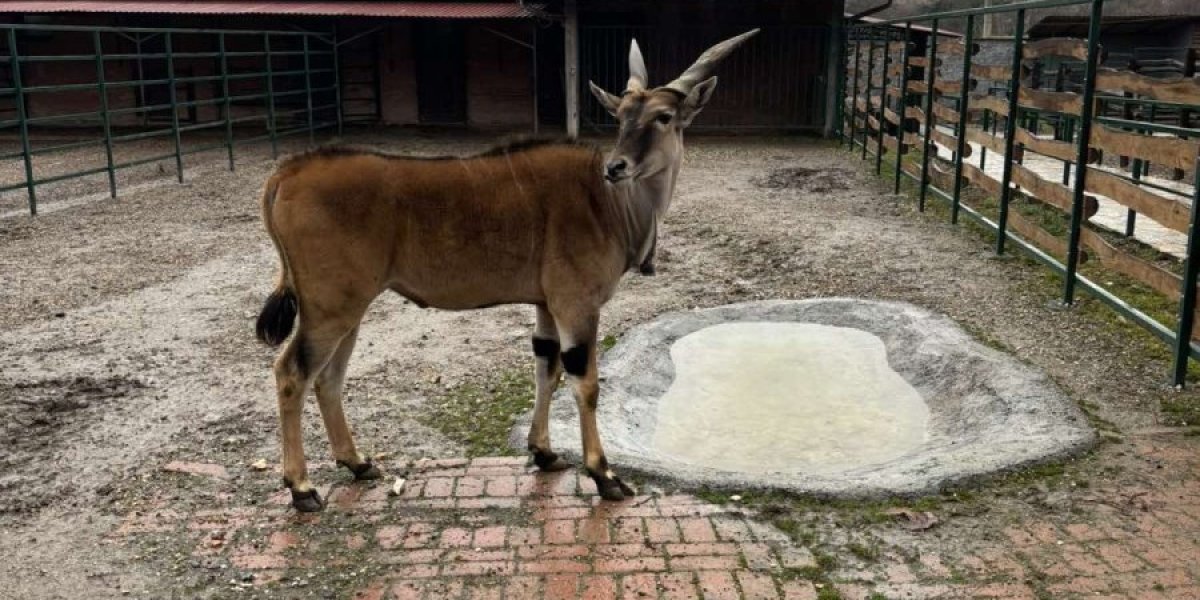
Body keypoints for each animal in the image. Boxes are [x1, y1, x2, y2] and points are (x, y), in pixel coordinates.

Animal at [255, 29, 758, 511]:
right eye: (621, 116)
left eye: (663, 117)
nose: (617, 167)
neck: (607, 202)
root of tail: (286, 173)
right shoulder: (577, 304)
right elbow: (585, 381)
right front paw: (604, 475)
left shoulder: (546, 305)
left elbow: (546, 369)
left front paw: (544, 453)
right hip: (331, 308)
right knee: (292, 373)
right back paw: (301, 488)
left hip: (348, 309)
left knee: (329, 378)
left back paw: (358, 463)